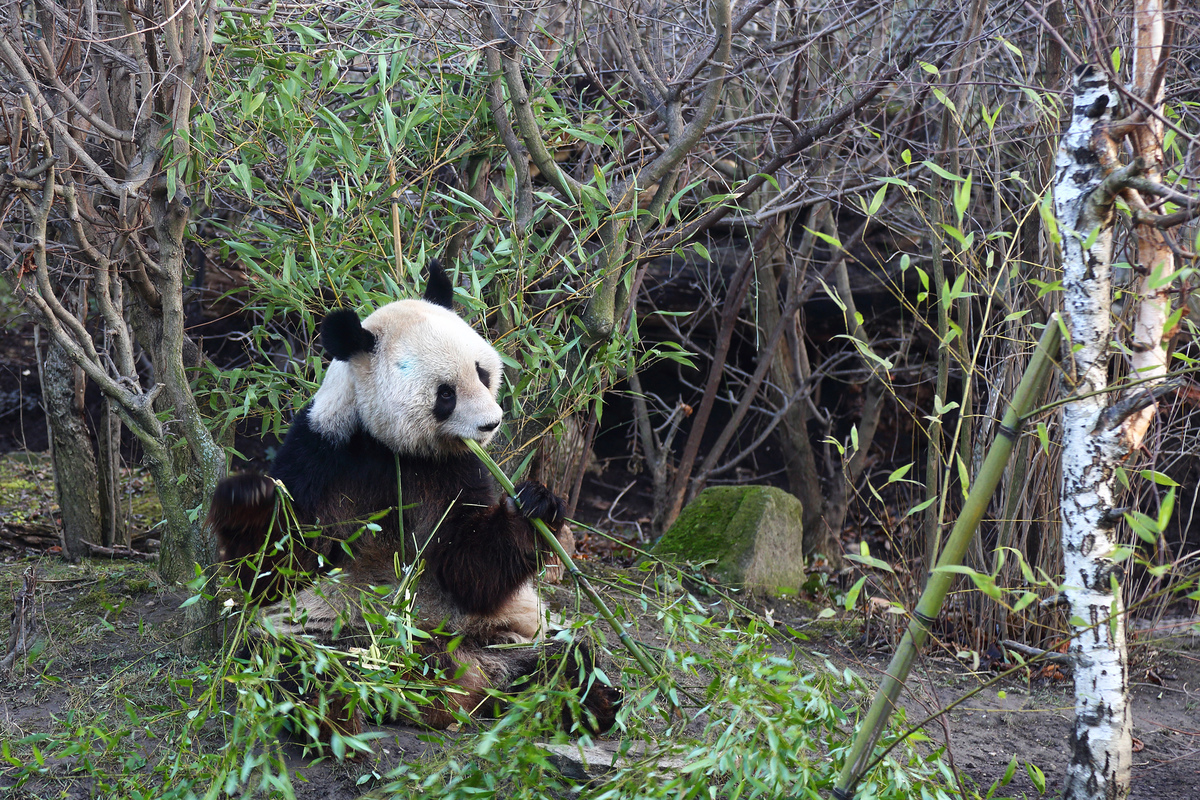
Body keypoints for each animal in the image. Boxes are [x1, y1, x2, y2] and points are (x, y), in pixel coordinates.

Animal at [208, 264, 619, 736]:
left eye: (482, 372)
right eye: (446, 393)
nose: (491, 424)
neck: (390, 446)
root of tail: (458, 684)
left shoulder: (456, 470)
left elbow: (470, 570)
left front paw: (537, 505)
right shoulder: (323, 456)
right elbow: (280, 570)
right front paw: (247, 501)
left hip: (506, 632)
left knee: (569, 658)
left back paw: (587, 699)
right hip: (335, 632)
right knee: (307, 664)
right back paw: (332, 714)